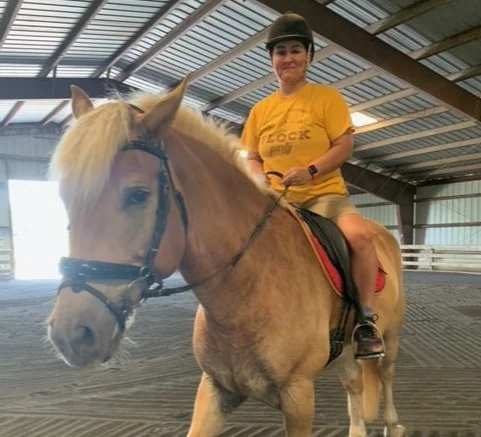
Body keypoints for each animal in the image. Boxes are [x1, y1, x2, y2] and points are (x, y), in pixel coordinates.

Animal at [47, 78, 404, 436]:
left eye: (138, 195)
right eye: (66, 199)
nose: (72, 334)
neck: (247, 289)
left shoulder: (298, 394)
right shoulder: (216, 388)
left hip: (389, 338)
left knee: (386, 378)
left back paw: (392, 422)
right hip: (344, 353)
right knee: (354, 385)